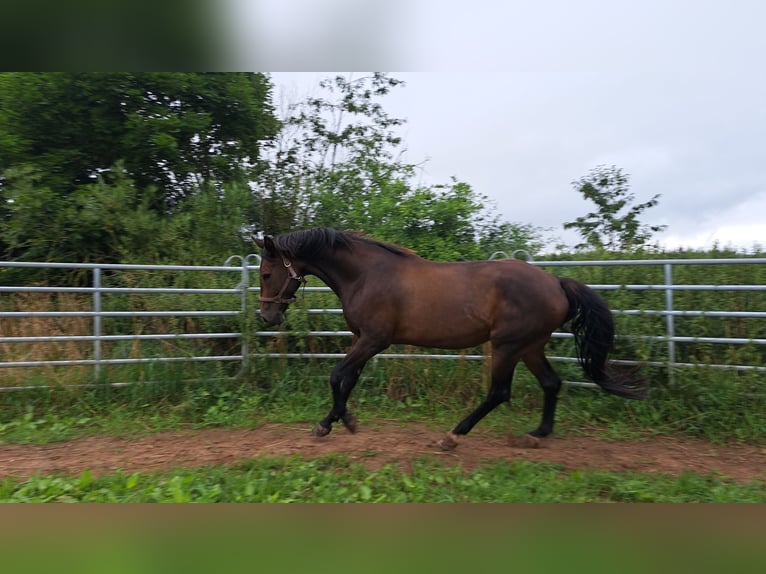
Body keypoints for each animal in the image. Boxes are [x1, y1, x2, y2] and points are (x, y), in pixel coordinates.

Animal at [254, 227, 646, 450]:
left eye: (266, 273)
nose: (267, 316)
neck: (366, 274)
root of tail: (556, 283)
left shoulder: (374, 340)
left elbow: (337, 375)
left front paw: (326, 425)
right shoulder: (362, 340)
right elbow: (348, 379)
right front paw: (345, 420)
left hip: (507, 346)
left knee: (499, 393)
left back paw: (452, 437)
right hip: (530, 346)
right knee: (551, 383)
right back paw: (536, 434)